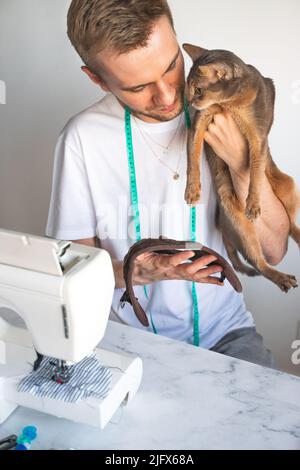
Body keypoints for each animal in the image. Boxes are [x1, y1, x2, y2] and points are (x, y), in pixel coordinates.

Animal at [183, 45, 300, 294]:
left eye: (198, 90)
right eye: (186, 89)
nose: (189, 102)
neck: (229, 104)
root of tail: (221, 223)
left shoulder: (258, 136)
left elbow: (254, 170)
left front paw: (254, 203)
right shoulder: (200, 122)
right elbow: (192, 158)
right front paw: (192, 189)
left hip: (289, 185)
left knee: (290, 225)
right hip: (238, 223)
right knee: (258, 261)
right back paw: (281, 277)